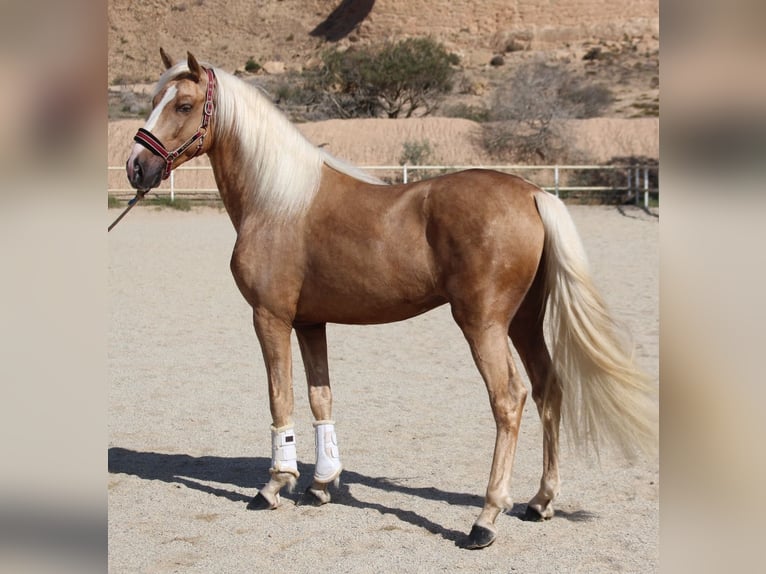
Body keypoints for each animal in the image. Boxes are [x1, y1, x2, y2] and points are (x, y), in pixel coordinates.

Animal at [126, 51, 660, 552]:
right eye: (154, 100)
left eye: (184, 105)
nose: (136, 166)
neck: (278, 202)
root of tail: (531, 193)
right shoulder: (310, 323)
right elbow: (321, 396)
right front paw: (322, 483)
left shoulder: (270, 318)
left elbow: (281, 398)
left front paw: (275, 485)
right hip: (524, 322)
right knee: (550, 389)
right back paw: (540, 501)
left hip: (483, 324)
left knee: (509, 399)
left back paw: (486, 518)